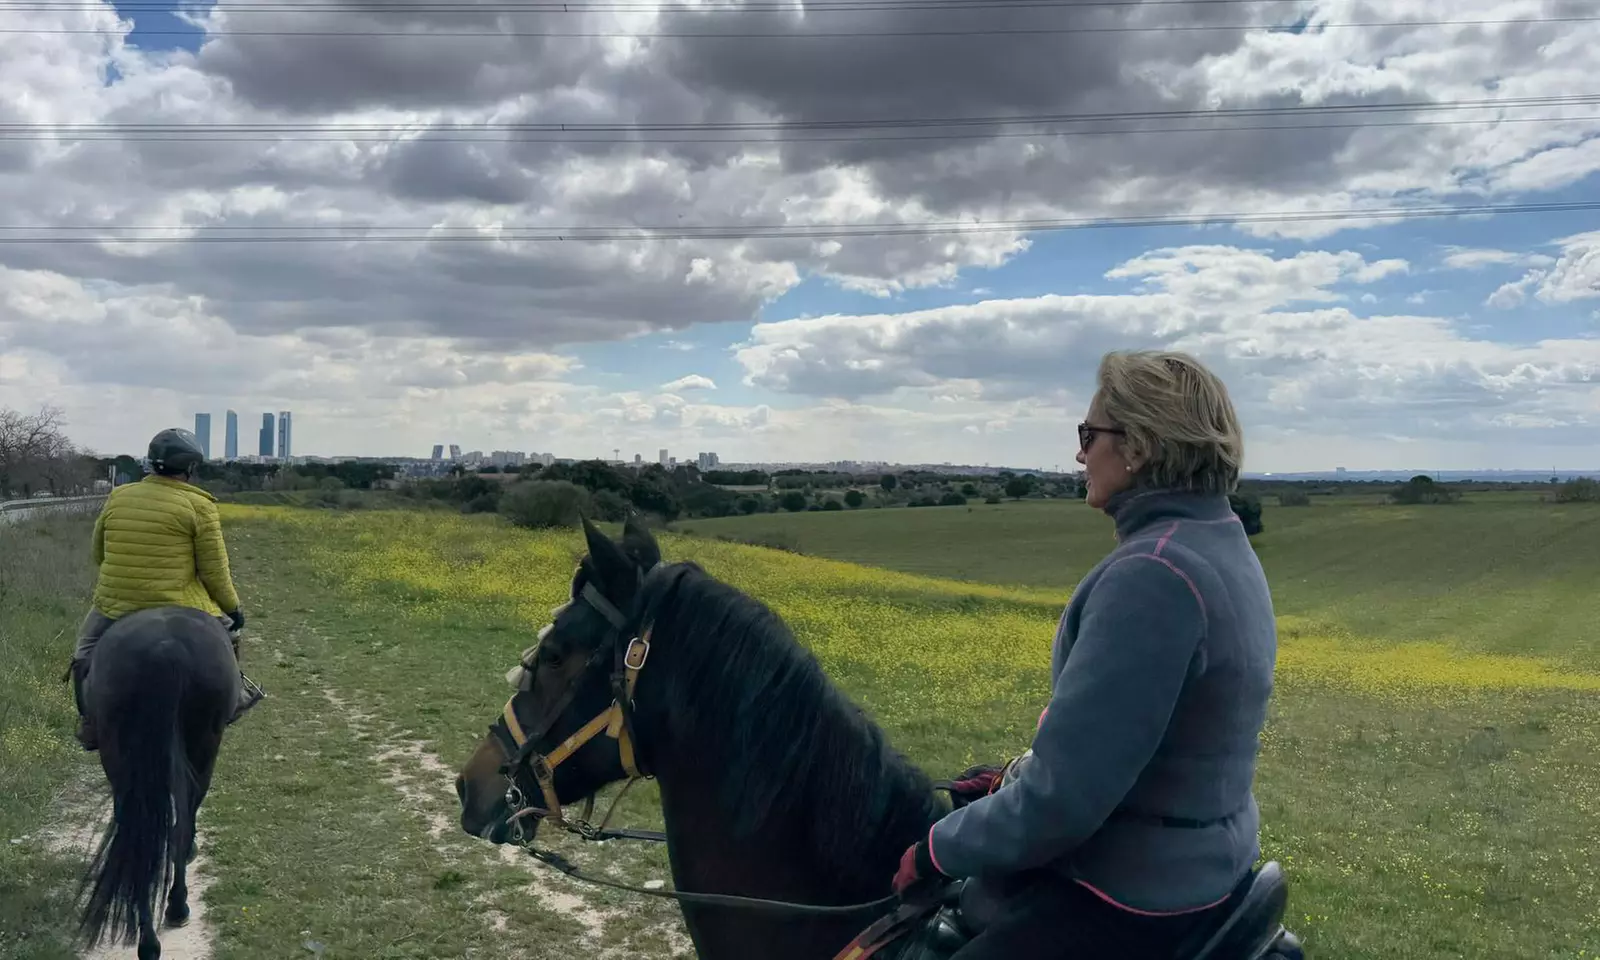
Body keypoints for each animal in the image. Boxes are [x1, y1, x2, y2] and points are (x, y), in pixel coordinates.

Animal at [76, 606, 240, 960]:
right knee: (176, 824)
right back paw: (174, 910)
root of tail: (167, 652)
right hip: (202, 748)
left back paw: (150, 939)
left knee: (141, 830)